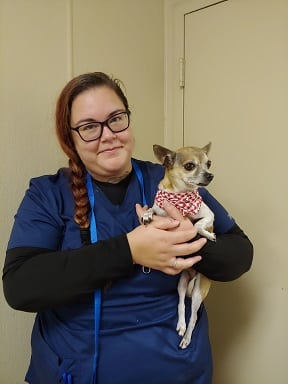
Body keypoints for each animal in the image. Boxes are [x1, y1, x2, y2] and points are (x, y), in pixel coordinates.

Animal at [142, 142, 216, 350]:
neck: (179, 196)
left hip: (199, 290)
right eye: (190, 166)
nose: (210, 175)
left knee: (193, 317)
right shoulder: (160, 208)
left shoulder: (209, 215)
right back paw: (181, 325)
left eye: (209, 163)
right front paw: (146, 214)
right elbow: (151, 208)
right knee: (182, 304)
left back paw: (187, 337)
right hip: (182, 283)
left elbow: (198, 225)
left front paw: (208, 233)